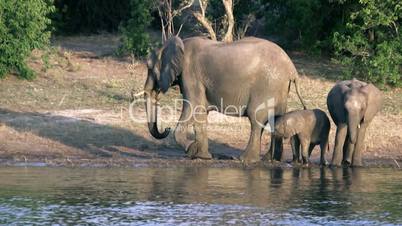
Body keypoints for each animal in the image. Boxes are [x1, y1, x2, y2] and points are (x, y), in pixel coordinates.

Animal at [144, 35, 304, 162]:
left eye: (149, 67)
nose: (166, 128)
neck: (180, 43)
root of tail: (292, 69)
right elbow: (200, 112)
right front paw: (203, 156)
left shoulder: (190, 74)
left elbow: (193, 105)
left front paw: (191, 149)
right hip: (279, 88)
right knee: (276, 119)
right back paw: (270, 159)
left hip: (267, 86)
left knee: (256, 119)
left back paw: (245, 160)